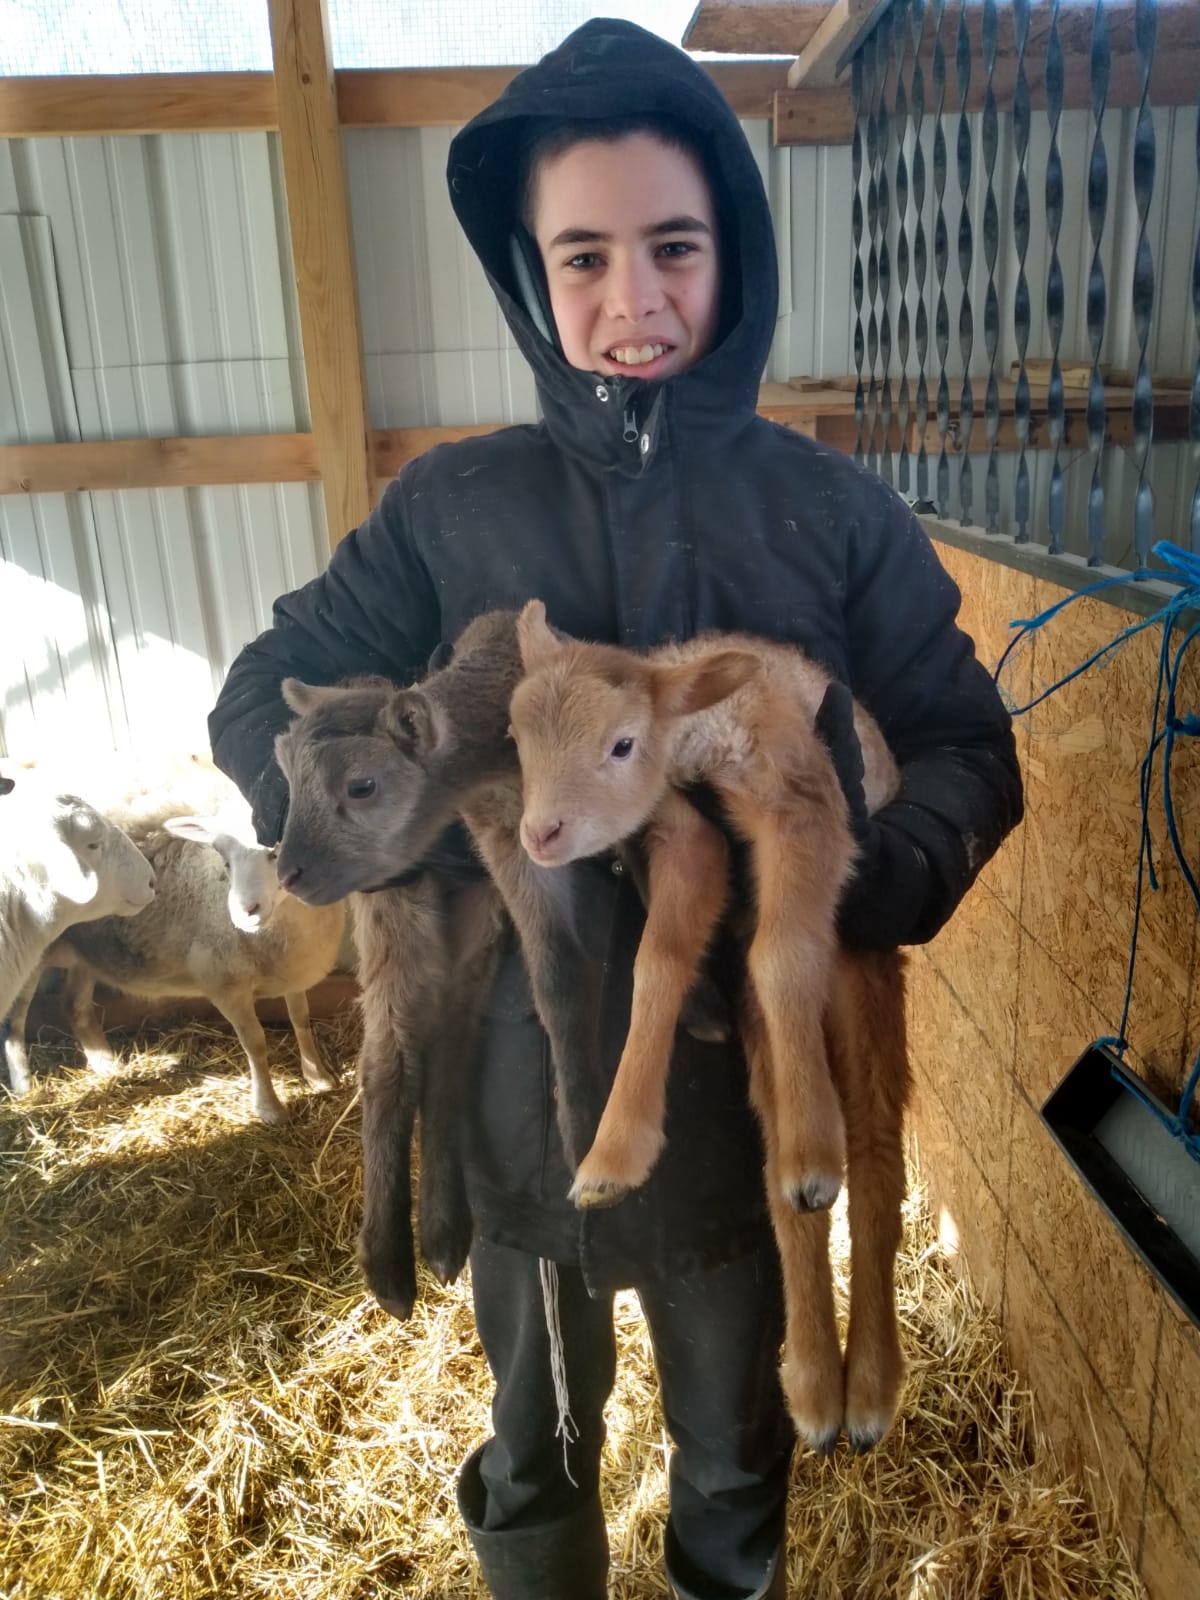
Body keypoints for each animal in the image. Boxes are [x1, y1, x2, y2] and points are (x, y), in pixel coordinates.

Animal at [5, 790, 347, 1120]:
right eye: (225, 858)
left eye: (276, 852)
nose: (244, 912)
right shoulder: (224, 984)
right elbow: (255, 1043)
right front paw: (269, 1108)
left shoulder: (294, 968)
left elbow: (300, 1018)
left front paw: (318, 1076)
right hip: (32, 951)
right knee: (13, 1020)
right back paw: (24, 1087)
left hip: (87, 952)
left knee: (74, 1006)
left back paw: (107, 1065)